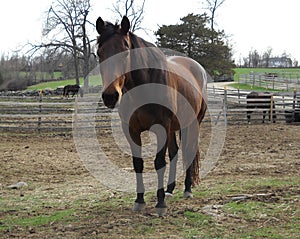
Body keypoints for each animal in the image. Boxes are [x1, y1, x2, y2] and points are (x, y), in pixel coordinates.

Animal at [96, 15, 209, 216]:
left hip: (191, 124)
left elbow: (159, 163)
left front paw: (160, 203)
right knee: (175, 152)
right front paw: (139, 200)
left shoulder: (161, 127)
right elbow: (138, 164)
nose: (110, 96)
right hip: (174, 127)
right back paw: (170, 189)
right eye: (99, 53)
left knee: (188, 151)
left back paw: (187, 189)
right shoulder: (132, 130)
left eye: (125, 51)